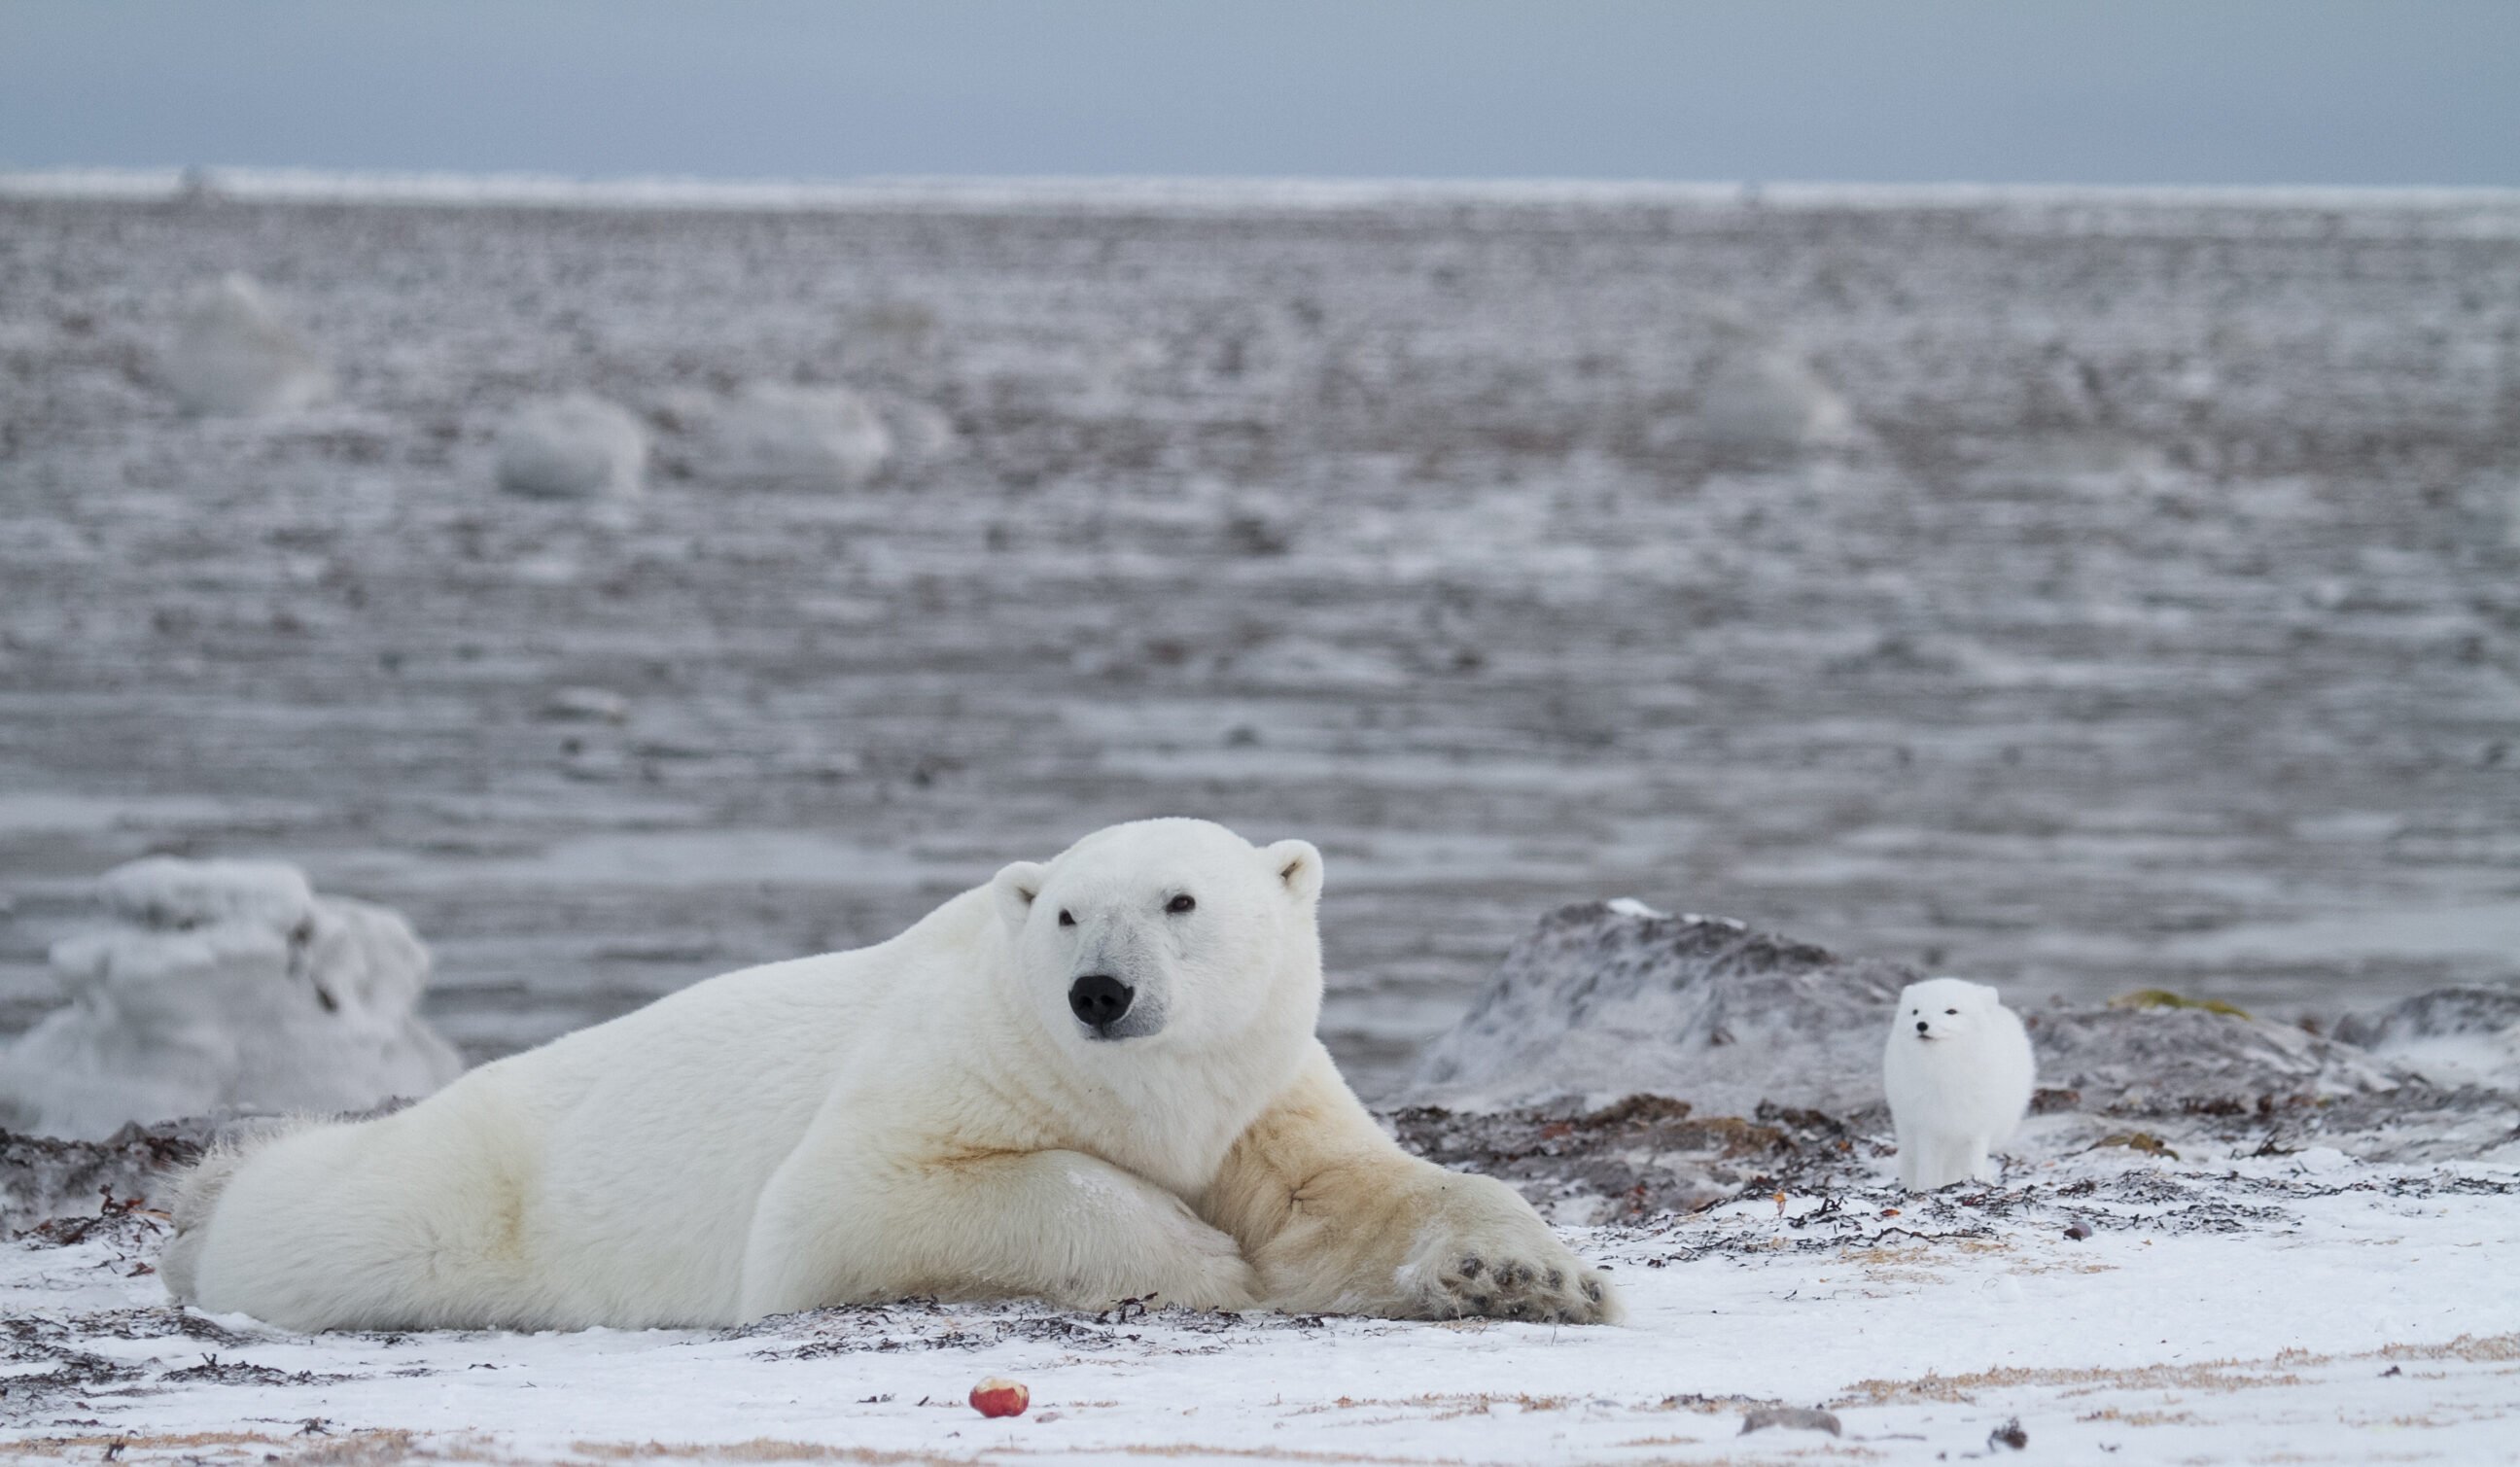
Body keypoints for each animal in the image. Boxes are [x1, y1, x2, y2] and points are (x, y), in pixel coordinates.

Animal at [167, 821, 1612, 1341]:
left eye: (1181, 900)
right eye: (1067, 916)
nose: (1102, 993)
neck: (1142, 1092)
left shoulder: (1258, 1101)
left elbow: (1349, 1198)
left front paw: (1529, 1273)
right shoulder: (954, 1064)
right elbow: (859, 1200)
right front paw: (1199, 1258)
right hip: (452, 1195)